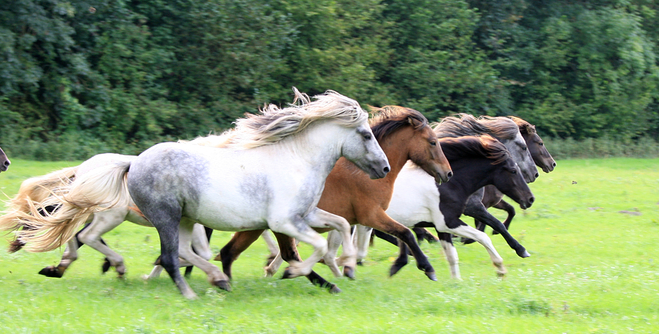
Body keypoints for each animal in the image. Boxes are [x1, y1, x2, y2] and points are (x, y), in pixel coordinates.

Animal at [7, 88, 390, 298]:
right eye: (365, 134)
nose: (385, 168)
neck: (295, 159)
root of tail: (133, 162)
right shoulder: (285, 222)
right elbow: (320, 244)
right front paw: (295, 272)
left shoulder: (306, 215)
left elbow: (341, 225)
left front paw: (344, 268)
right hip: (163, 217)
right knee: (169, 256)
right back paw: (190, 289)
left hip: (185, 219)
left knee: (182, 253)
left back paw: (217, 279)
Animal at [217, 105, 454, 284]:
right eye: (433, 142)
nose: (448, 173)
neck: (363, 173)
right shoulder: (371, 216)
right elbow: (406, 233)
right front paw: (427, 268)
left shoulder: (360, 220)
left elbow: (394, 236)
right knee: (271, 254)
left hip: (256, 226)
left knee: (232, 252)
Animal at [360, 136, 536, 280]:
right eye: (513, 170)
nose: (530, 198)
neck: (448, 185)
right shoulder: (449, 222)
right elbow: (484, 236)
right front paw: (501, 267)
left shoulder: (442, 227)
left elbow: (452, 254)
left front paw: (456, 282)